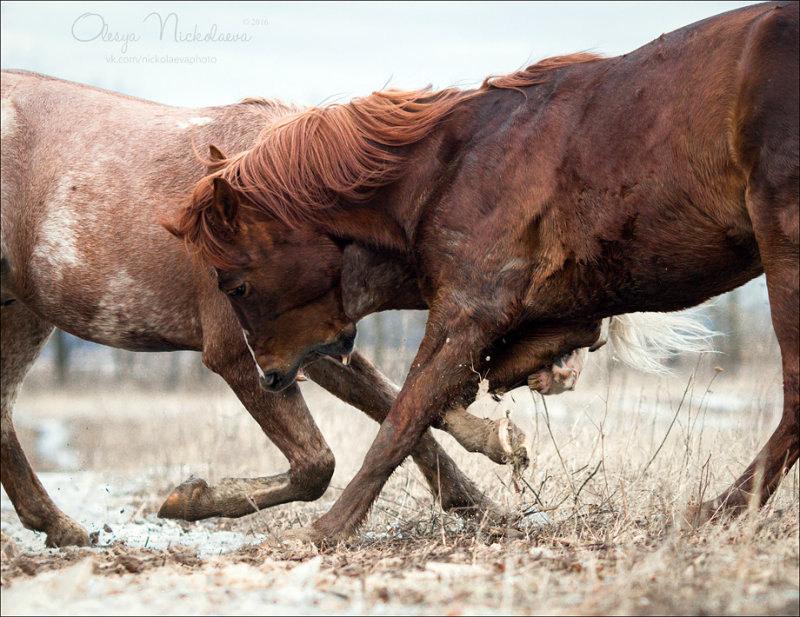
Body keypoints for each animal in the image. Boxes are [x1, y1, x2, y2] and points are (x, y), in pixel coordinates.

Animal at [166, 1, 796, 540]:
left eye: (235, 284)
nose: (271, 377)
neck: (445, 169)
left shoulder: (470, 310)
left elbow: (405, 415)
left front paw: (328, 529)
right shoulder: (546, 322)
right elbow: (447, 399)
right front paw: (502, 440)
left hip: (785, 254)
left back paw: (714, 511)